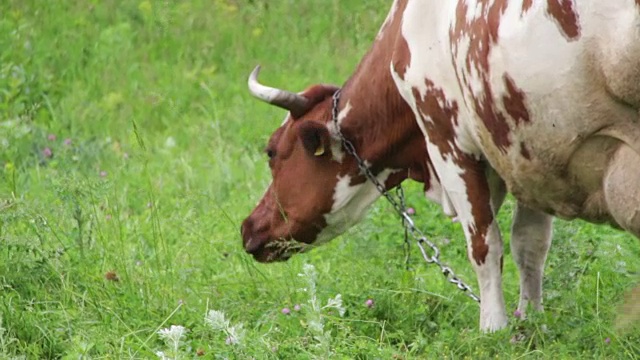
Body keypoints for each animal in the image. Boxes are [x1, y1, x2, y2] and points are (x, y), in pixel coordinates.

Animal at [241, 0, 640, 332]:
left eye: (272, 152)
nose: (248, 227)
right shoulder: (528, 152)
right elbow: (530, 245)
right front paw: (530, 319)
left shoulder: (447, 140)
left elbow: (484, 245)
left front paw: (494, 329)